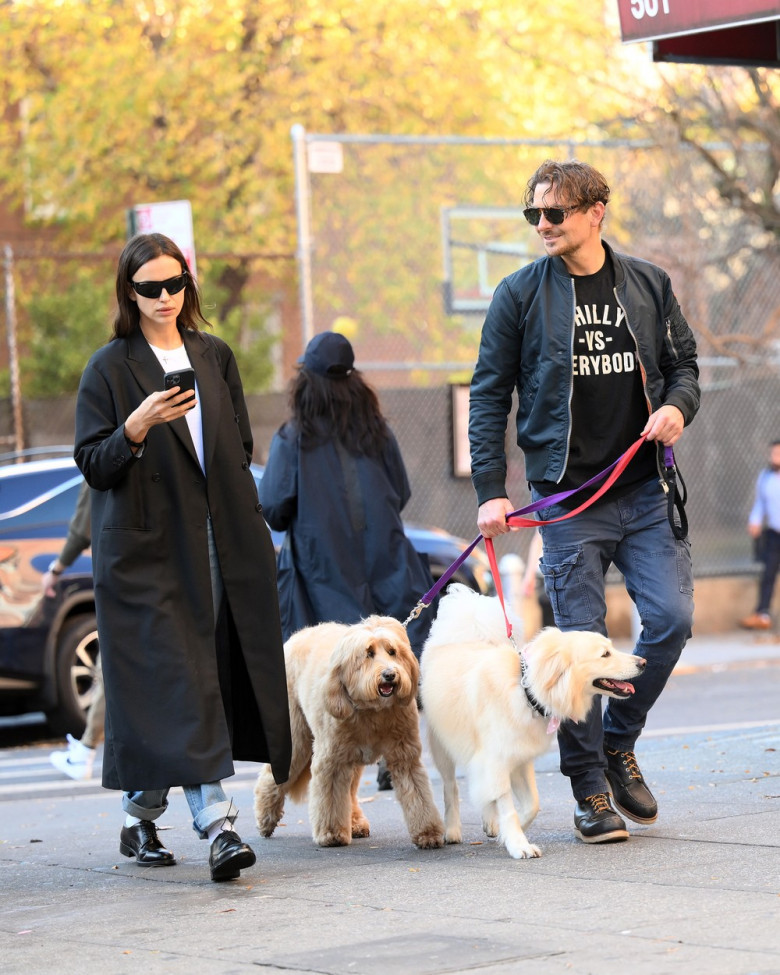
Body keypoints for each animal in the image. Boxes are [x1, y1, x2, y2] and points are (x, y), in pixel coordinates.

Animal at [253, 620, 442, 852]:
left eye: (392, 652)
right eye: (369, 653)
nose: (390, 674)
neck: (372, 711)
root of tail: (297, 636)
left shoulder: (405, 757)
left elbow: (417, 794)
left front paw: (428, 832)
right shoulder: (331, 761)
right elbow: (330, 799)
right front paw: (331, 833)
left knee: (349, 793)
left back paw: (354, 823)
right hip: (297, 740)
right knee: (273, 777)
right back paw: (265, 819)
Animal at [420, 584, 644, 856]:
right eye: (605, 654)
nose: (643, 663)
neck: (526, 690)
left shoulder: (519, 758)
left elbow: (531, 804)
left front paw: (507, 834)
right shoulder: (496, 759)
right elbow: (507, 806)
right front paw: (518, 844)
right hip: (443, 748)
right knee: (451, 787)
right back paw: (452, 830)